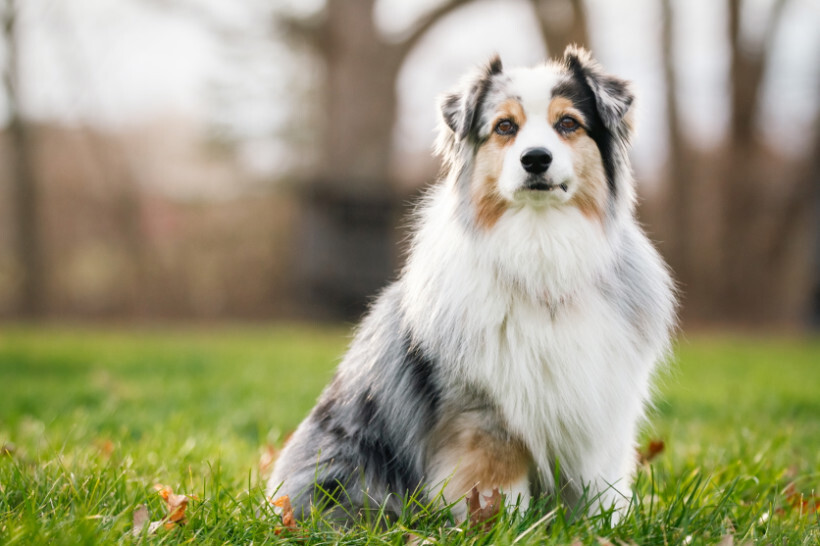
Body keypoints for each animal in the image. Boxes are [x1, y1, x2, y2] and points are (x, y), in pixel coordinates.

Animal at [266, 45, 676, 520]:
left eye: (568, 123)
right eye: (505, 127)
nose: (536, 158)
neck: (541, 248)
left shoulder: (602, 406)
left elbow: (601, 490)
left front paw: (604, 526)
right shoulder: (484, 412)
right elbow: (497, 488)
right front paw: (504, 526)